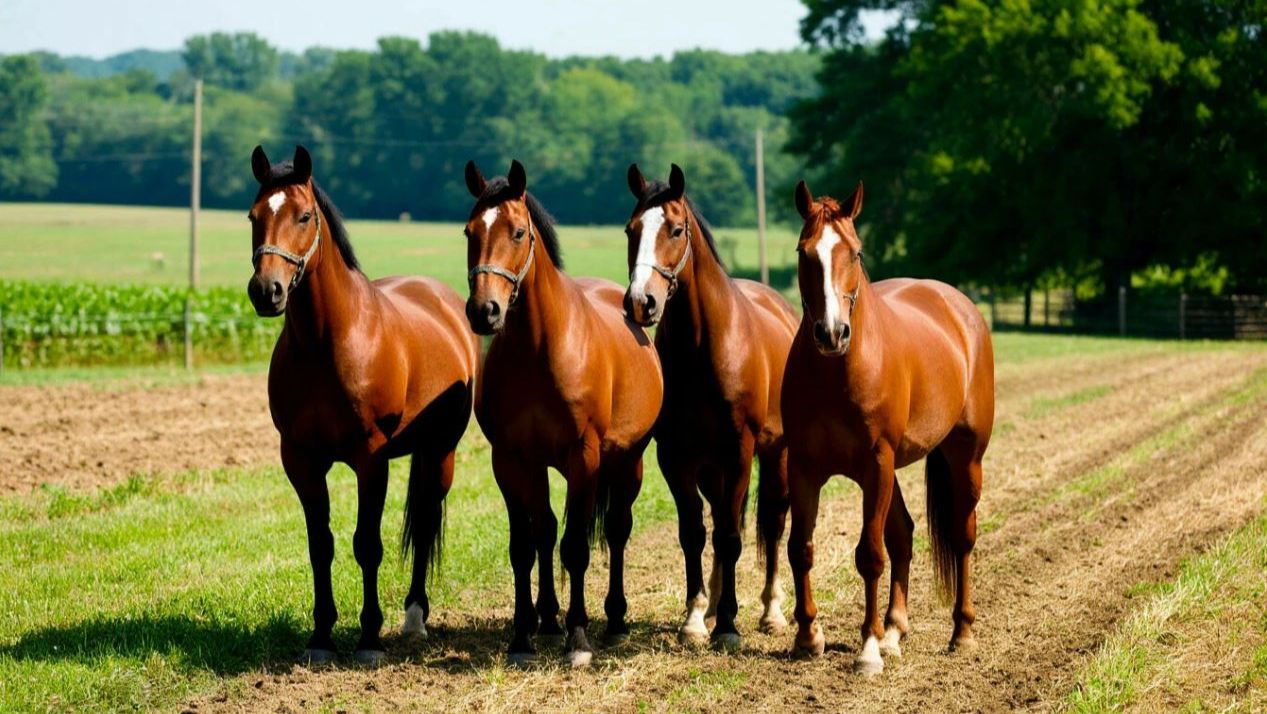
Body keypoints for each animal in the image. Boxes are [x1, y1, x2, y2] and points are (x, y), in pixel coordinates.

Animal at [246, 145, 479, 666]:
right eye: (253, 216)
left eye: (304, 216)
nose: (266, 291)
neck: (327, 344)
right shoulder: (301, 460)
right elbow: (321, 545)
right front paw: (321, 636)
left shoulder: (370, 459)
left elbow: (367, 544)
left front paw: (370, 637)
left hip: (441, 454)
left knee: (426, 521)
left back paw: (414, 617)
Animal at [462, 160, 663, 667]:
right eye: (470, 231)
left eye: (518, 232)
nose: (484, 311)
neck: (540, 349)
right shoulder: (511, 460)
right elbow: (524, 546)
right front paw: (522, 638)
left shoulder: (583, 456)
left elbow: (576, 548)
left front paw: (578, 639)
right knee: (545, 531)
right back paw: (547, 618)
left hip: (627, 463)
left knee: (616, 529)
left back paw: (613, 621)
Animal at [622, 164, 798, 650]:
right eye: (630, 230)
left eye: (676, 229)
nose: (641, 302)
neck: (705, 347)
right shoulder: (677, 457)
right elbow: (695, 533)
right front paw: (696, 618)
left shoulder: (739, 450)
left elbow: (733, 536)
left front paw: (729, 627)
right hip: (712, 466)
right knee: (721, 517)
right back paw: (718, 602)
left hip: (775, 456)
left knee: (772, 521)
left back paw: (770, 611)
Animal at [782, 179, 994, 675]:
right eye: (804, 252)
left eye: (855, 252)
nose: (832, 333)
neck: (838, 371)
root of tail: (961, 308)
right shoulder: (804, 467)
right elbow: (801, 547)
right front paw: (808, 636)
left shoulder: (875, 464)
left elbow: (869, 555)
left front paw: (868, 648)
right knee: (904, 534)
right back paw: (895, 629)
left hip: (966, 457)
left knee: (963, 535)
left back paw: (961, 631)